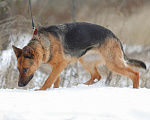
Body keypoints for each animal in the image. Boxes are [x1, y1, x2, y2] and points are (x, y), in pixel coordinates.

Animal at [12, 22, 146, 90]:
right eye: (18, 69)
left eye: (25, 69)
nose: (19, 85)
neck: (43, 44)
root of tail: (115, 37)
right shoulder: (56, 67)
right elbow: (55, 80)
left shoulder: (60, 65)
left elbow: (48, 80)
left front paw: (41, 90)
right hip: (85, 61)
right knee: (97, 76)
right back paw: (81, 86)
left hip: (113, 64)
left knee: (135, 74)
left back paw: (135, 90)